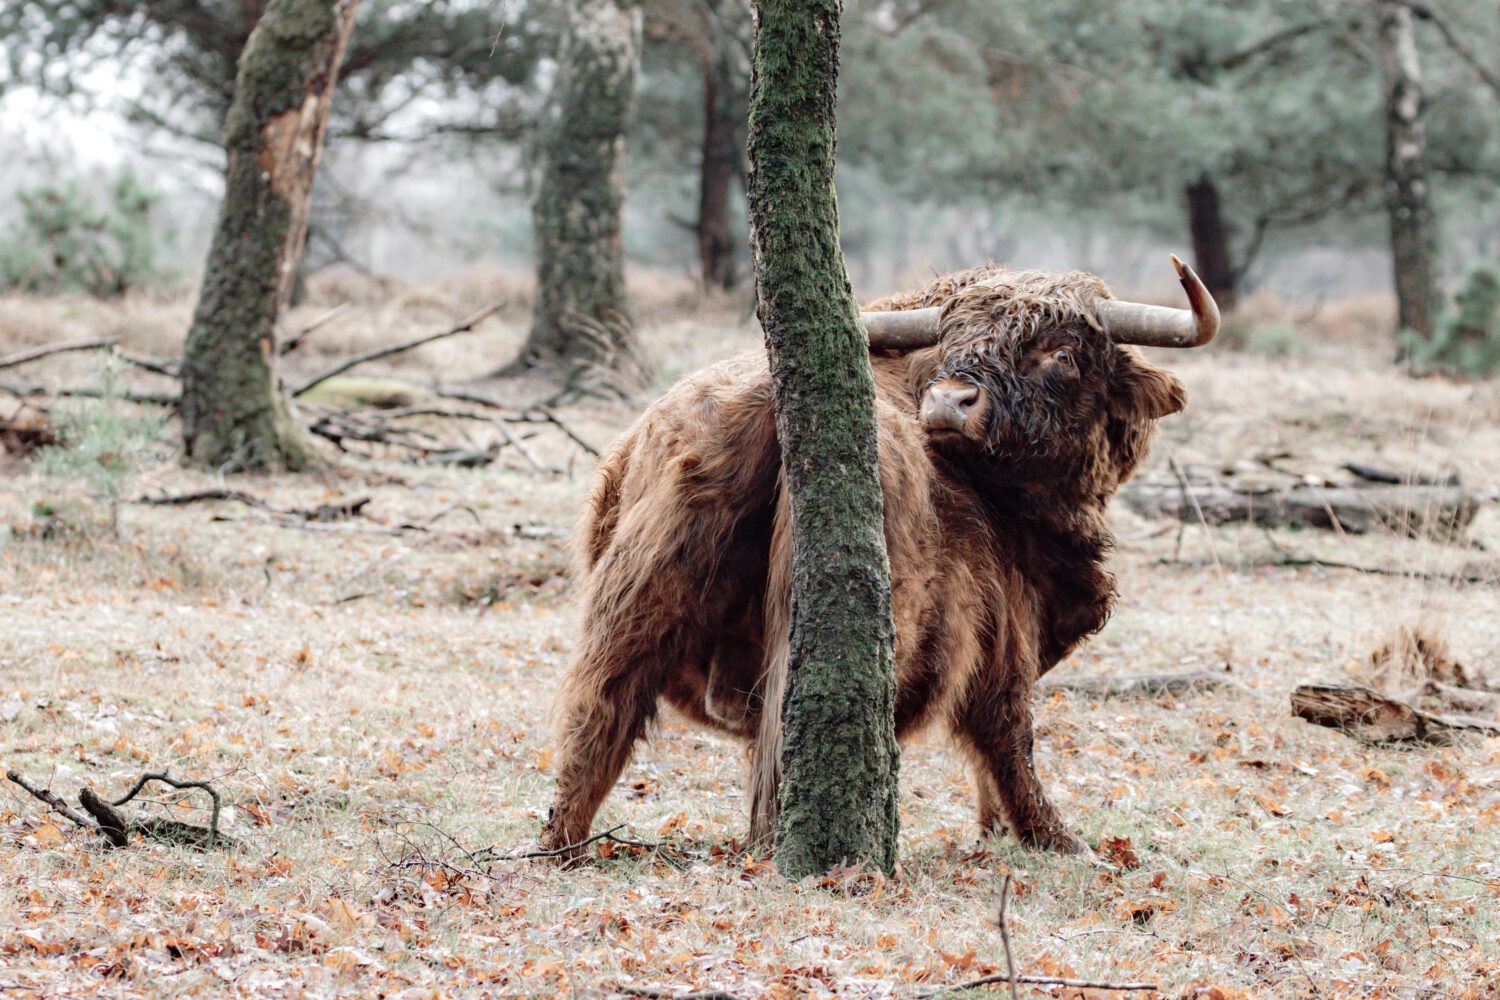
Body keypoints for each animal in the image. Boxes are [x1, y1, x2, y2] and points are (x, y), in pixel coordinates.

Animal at [540, 260, 1218, 863]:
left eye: (1062, 353)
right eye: (950, 340)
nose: (949, 404)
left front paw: (995, 830)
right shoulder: (1005, 628)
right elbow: (1009, 736)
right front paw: (1055, 840)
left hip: (638, 592)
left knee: (599, 710)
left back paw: (560, 845)